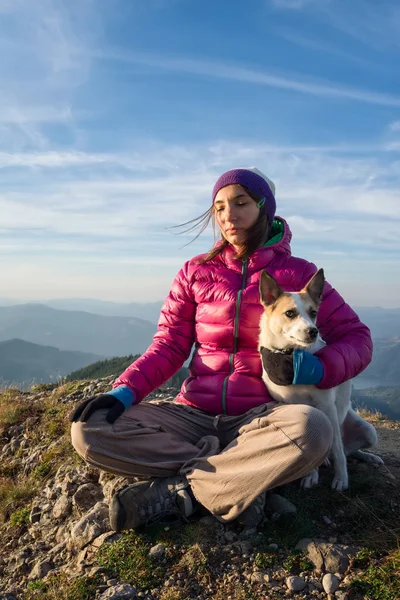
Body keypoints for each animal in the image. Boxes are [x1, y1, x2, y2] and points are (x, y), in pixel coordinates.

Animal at [258, 270, 382, 490]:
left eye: (313, 312)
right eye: (290, 313)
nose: (313, 332)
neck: (291, 355)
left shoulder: (326, 406)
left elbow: (338, 453)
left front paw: (341, 479)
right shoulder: (291, 405)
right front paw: (310, 474)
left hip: (368, 431)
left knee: (345, 450)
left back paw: (367, 457)